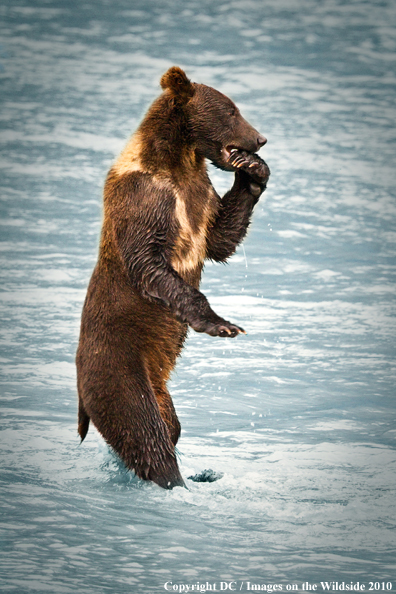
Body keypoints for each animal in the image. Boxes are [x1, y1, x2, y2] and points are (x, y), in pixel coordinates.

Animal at [76, 67, 270, 488]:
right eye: (231, 111)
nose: (260, 139)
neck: (177, 161)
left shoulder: (202, 195)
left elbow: (220, 239)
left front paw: (253, 170)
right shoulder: (145, 198)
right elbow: (147, 262)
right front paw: (223, 325)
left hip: (159, 383)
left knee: (170, 424)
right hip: (116, 365)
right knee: (143, 429)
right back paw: (173, 479)